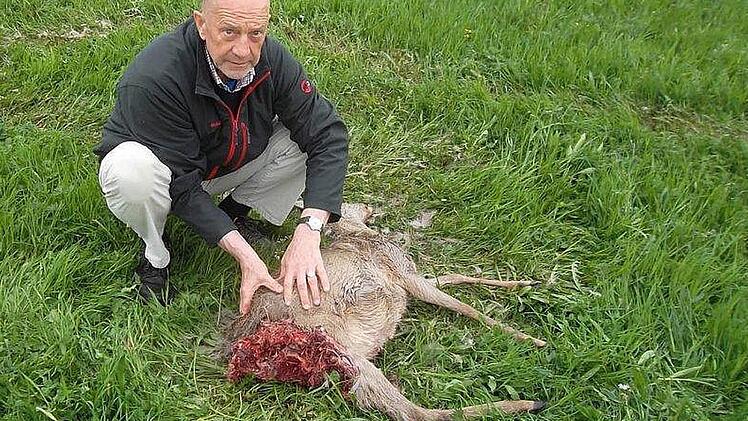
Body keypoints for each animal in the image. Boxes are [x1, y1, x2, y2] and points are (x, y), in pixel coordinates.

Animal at [217, 203, 547, 420]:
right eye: (347, 202)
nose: (367, 205)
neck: (359, 233)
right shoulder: (403, 273)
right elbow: (464, 305)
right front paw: (530, 338)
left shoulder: (407, 276)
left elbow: (454, 277)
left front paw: (525, 282)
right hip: (342, 353)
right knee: (413, 411)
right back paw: (531, 403)